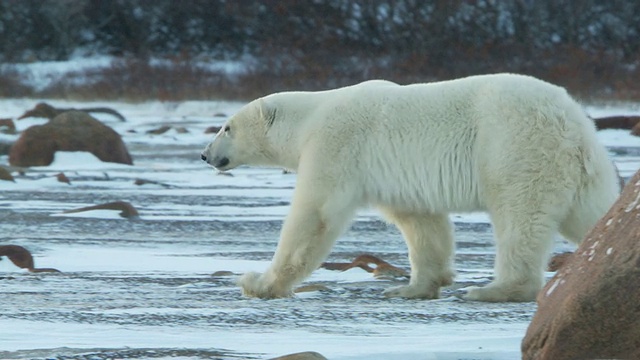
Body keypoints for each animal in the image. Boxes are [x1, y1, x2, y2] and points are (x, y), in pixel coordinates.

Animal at [200, 74, 620, 302]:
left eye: (226, 127)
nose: (205, 154)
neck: (310, 117)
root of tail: (568, 120)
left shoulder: (335, 145)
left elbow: (315, 213)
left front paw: (257, 282)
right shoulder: (396, 176)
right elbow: (421, 223)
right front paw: (411, 287)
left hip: (513, 146)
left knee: (519, 216)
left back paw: (494, 289)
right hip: (581, 165)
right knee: (593, 212)